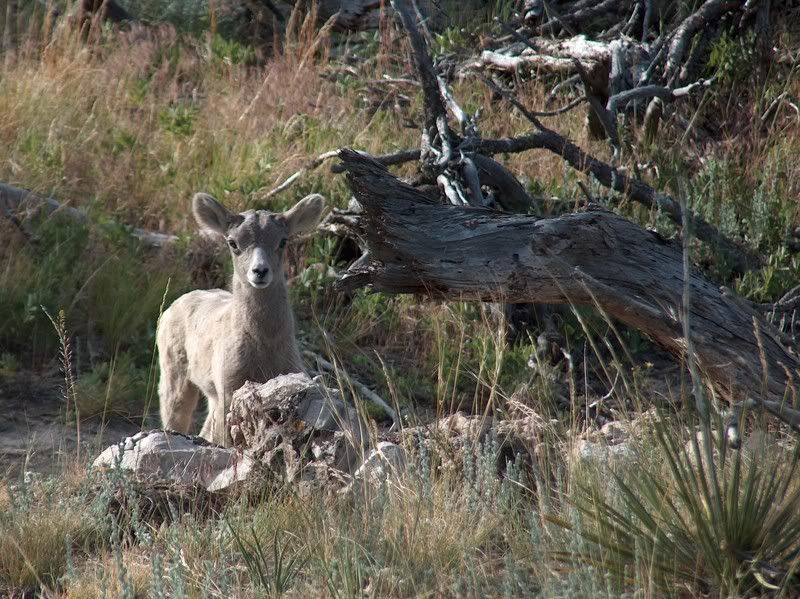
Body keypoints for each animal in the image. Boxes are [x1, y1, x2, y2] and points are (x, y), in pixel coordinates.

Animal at [157, 192, 324, 446]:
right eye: (233, 242)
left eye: (283, 241)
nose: (260, 271)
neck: (265, 348)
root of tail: (170, 309)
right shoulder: (229, 387)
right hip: (174, 372)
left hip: (210, 394)